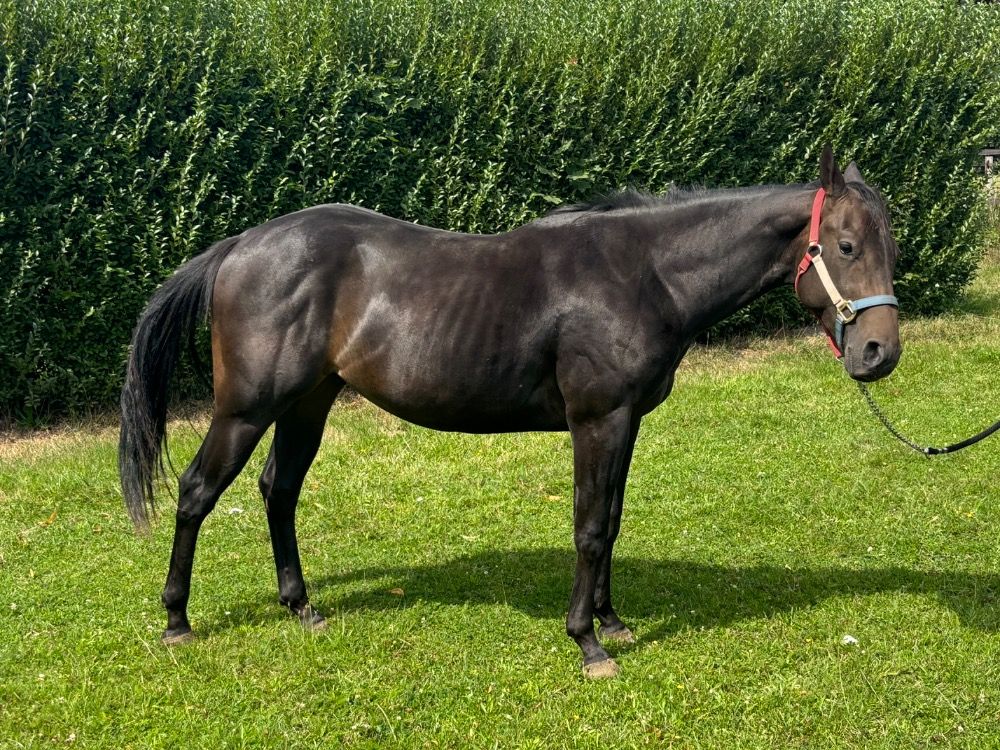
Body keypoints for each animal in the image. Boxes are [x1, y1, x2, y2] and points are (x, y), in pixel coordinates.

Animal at [119, 146, 901, 678]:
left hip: (308, 402)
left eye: (889, 248)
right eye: (846, 246)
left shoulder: (627, 422)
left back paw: (300, 604)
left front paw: (613, 621)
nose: (879, 352)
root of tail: (241, 245)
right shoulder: (597, 420)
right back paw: (177, 620)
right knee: (197, 492)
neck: (645, 273)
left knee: (278, 491)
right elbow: (589, 528)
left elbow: (613, 520)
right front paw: (587, 642)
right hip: (247, 409)